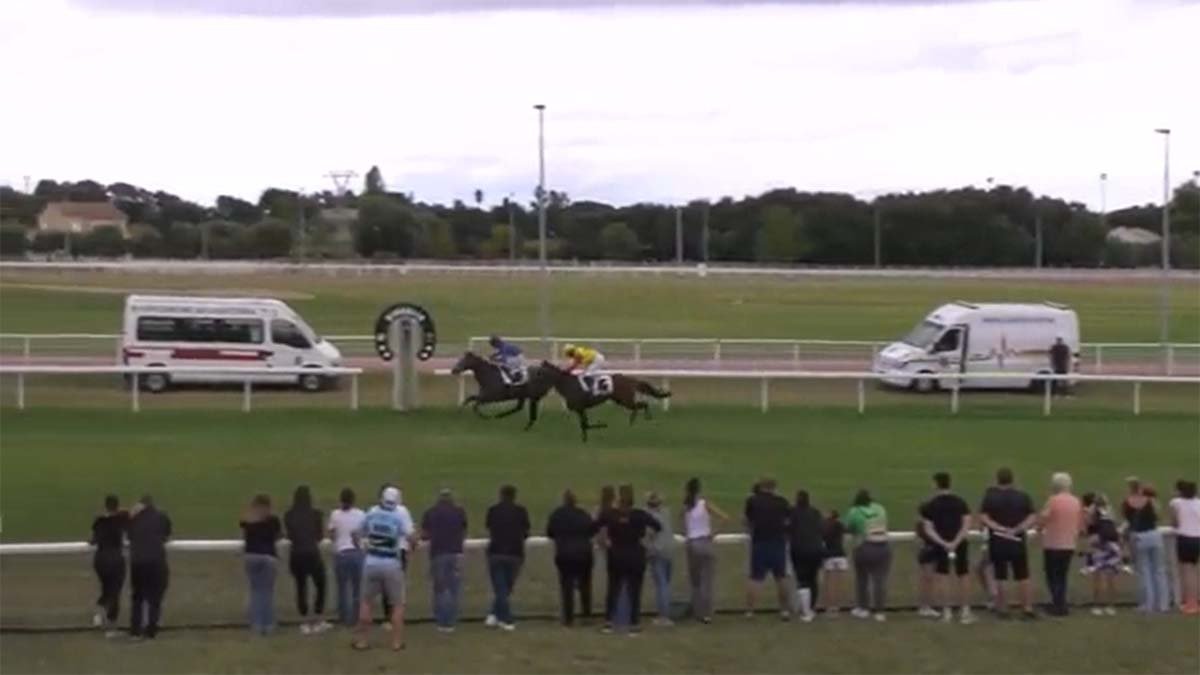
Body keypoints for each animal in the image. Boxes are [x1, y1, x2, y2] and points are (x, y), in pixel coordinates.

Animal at [532, 360, 671, 441]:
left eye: (539, 372)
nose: (532, 379)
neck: (568, 384)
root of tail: (631, 380)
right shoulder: (580, 409)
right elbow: (584, 424)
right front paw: (585, 438)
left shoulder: (580, 408)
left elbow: (585, 424)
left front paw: (601, 426)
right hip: (621, 400)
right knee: (639, 406)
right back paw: (633, 420)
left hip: (625, 399)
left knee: (642, 405)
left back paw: (642, 418)